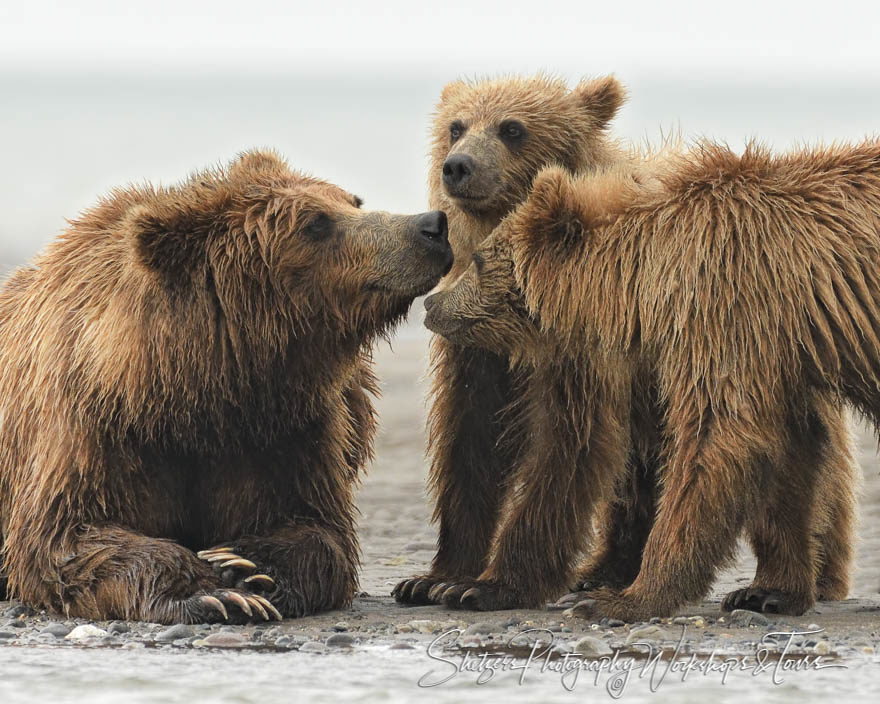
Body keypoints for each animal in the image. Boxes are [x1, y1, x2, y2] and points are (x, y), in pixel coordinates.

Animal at [0, 151, 454, 624]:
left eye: (352, 201)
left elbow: (314, 526)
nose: (431, 224)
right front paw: (210, 593)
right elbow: (65, 537)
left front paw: (246, 565)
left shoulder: (278, 431)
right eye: (316, 223)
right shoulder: (95, 428)